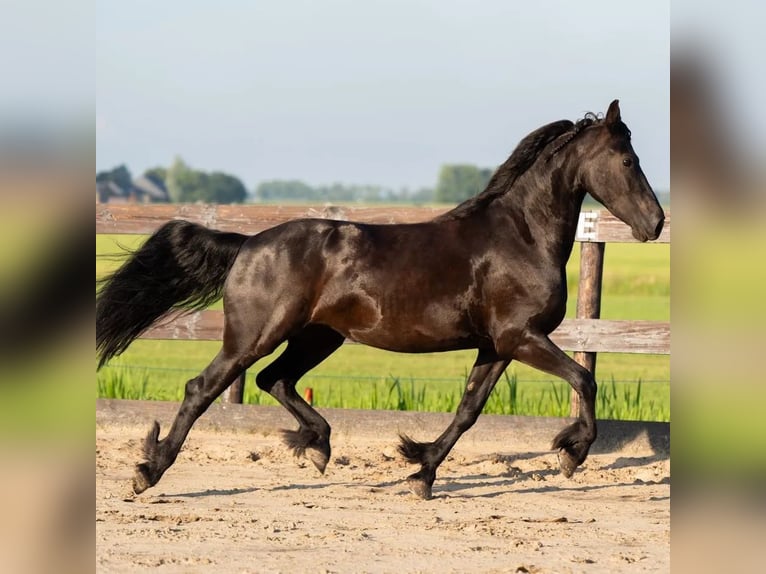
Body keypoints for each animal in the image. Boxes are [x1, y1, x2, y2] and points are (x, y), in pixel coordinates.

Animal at [96, 100, 664, 500]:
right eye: (627, 159)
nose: (656, 224)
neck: (520, 237)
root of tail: (249, 243)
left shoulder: (497, 346)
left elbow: (468, 410)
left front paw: (422, 470)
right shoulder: (521, 337)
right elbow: (585, 379)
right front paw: (572, 454)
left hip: (317, 336)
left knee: (273, 379)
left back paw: (318, 446)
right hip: (256, 336)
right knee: (204, 388)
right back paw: (148, 473)